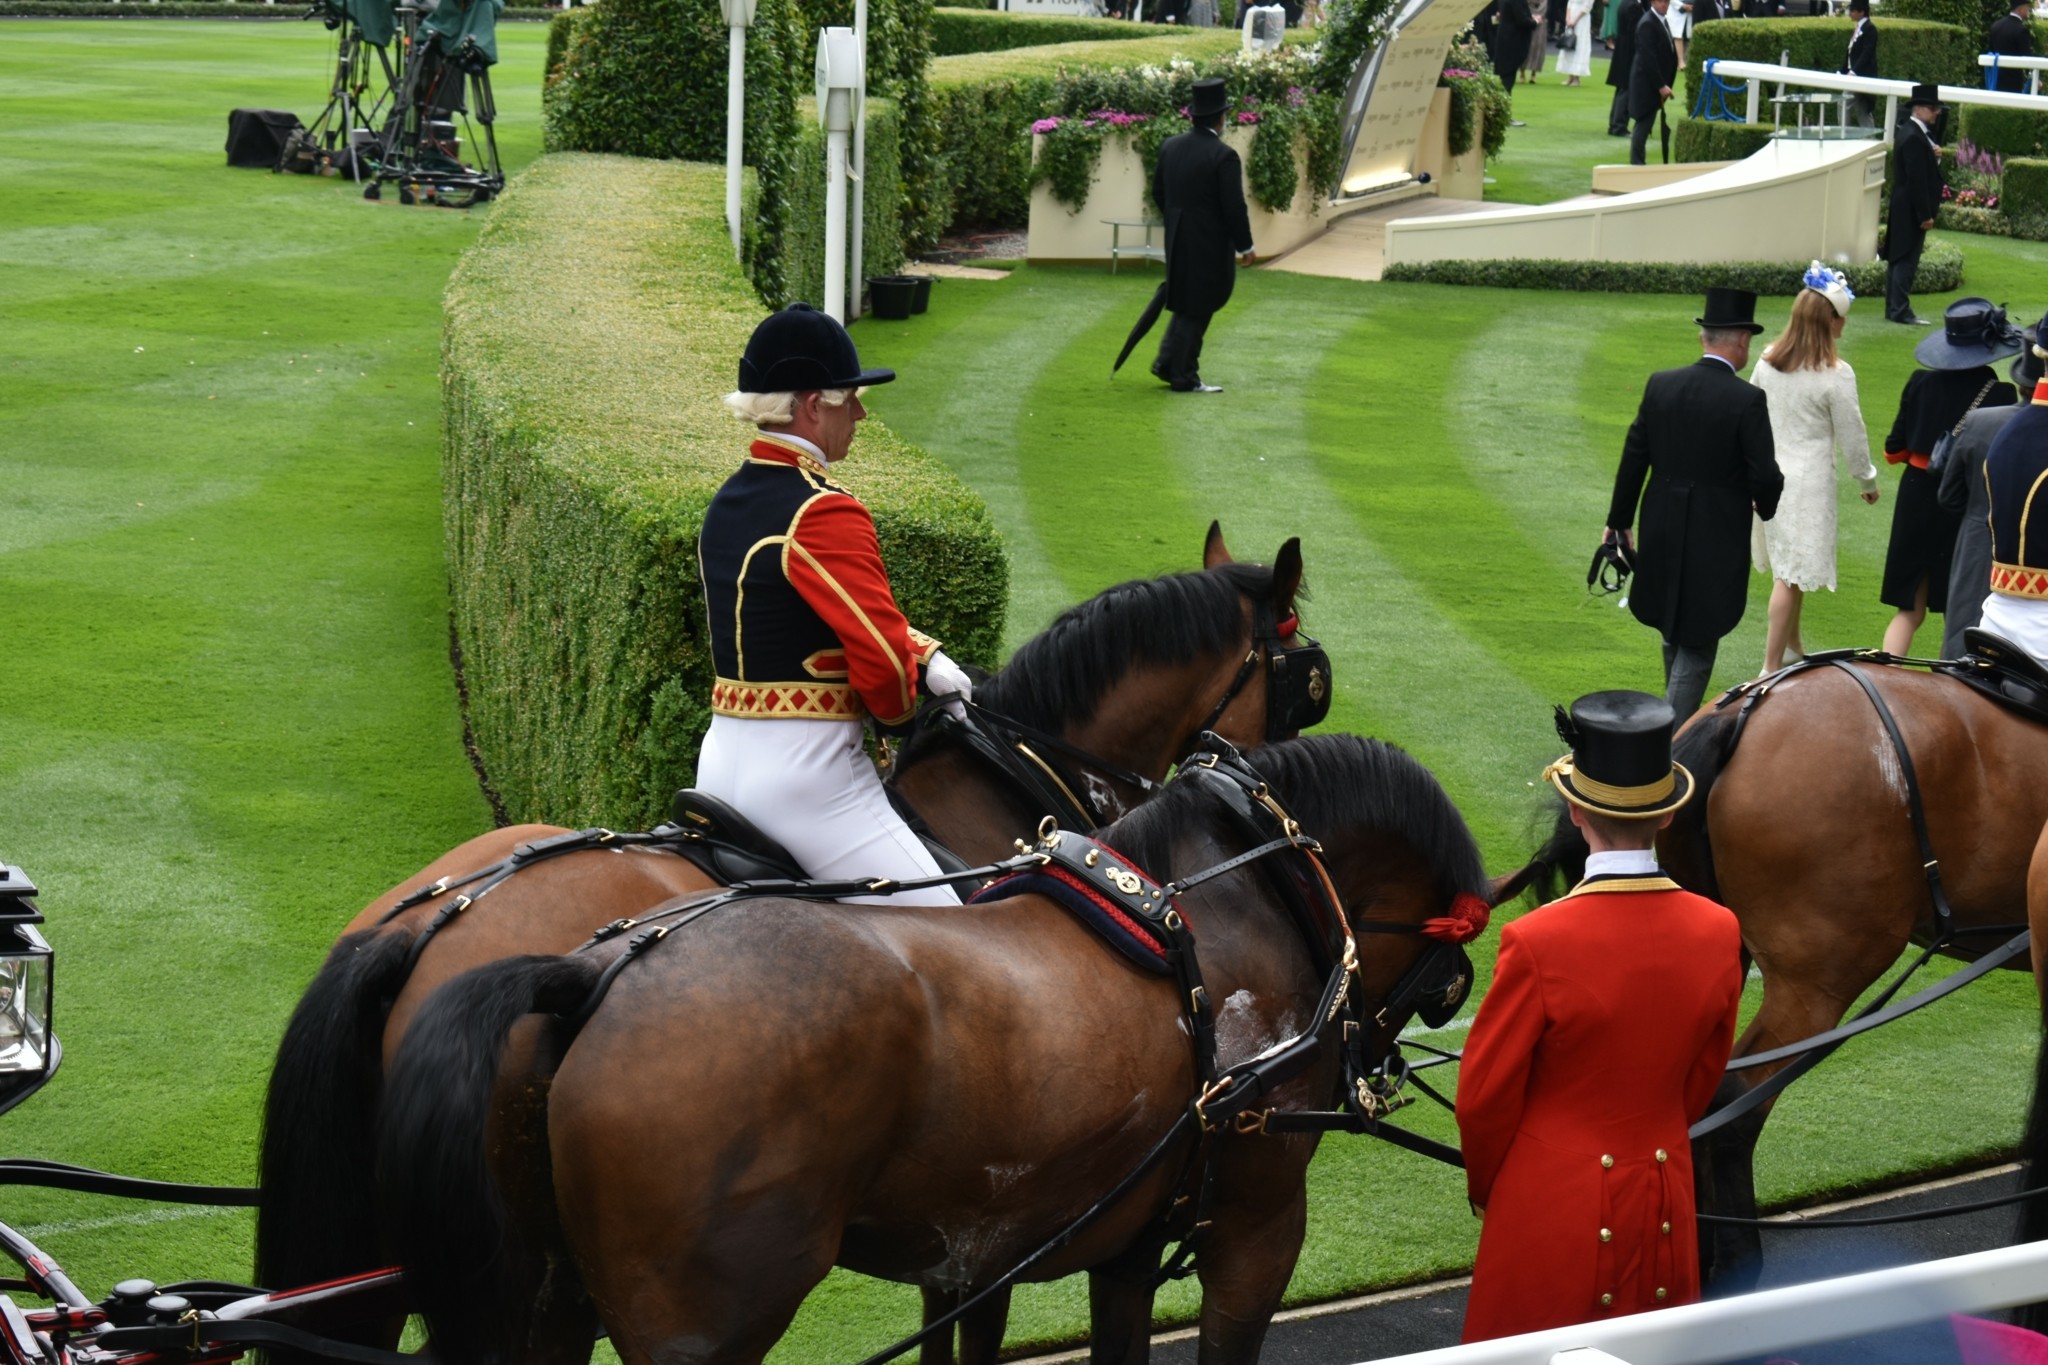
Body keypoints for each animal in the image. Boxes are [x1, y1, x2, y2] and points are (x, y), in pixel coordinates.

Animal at [372, 736, 1490, 1365]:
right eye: (1445, 976)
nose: (1382, 1063)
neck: (1224, 907)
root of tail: (588, 972)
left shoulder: (1099, 1244)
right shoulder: (1254, 1230)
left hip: (553, 1295)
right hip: (699, 1327)